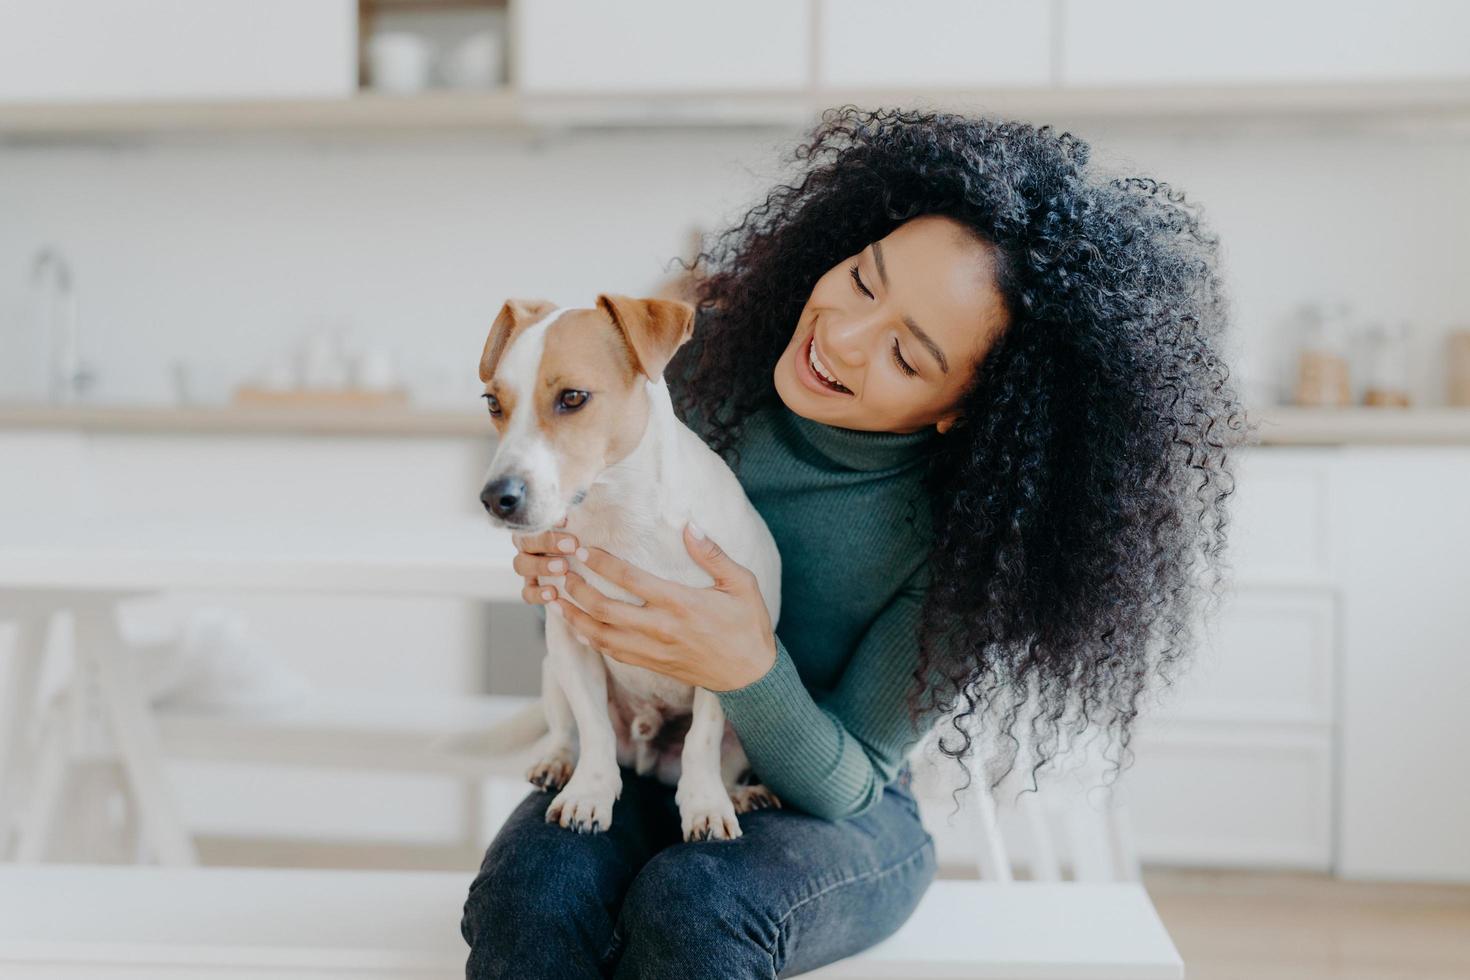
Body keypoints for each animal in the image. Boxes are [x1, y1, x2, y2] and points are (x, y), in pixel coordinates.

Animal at [473, 293, 793, 846]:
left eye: (573, 397)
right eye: (494, 403)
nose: (496, 498)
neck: (618, 517)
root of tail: (647, 756)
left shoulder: (720, 652)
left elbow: (702, 740)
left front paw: (705, 804)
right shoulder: (571, 642)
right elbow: (594, 728)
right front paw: (589, 793)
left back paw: (739, 793)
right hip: (552, 670)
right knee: (566, 729)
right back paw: (556, 761)